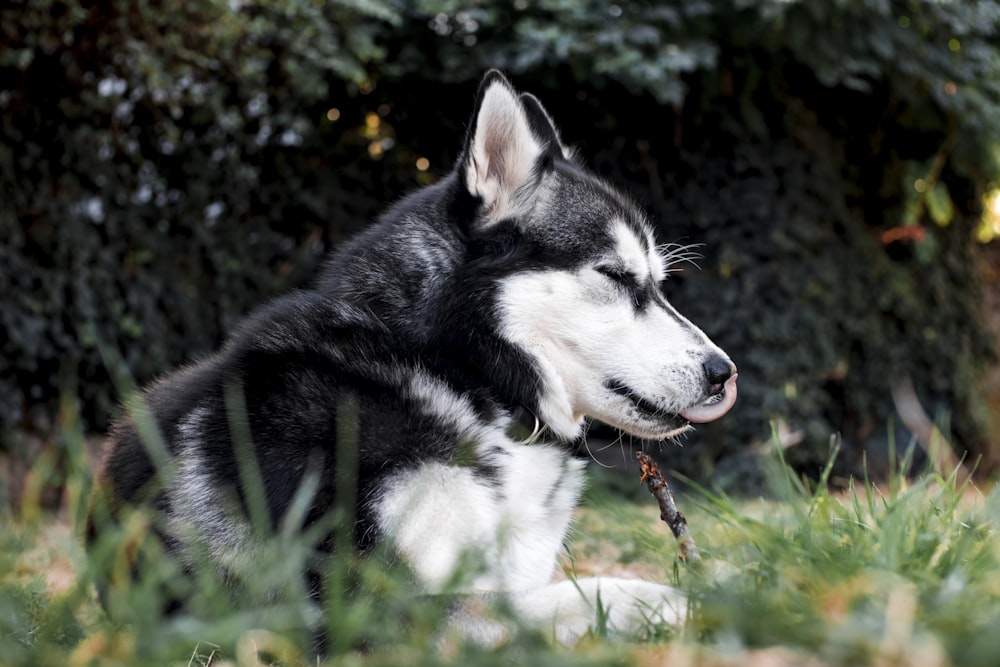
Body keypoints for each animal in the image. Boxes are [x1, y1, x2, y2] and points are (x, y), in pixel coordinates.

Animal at [92, 73, 736, 648]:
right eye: (615, 275)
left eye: (658, 283)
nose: (723, 373)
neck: (466, 378)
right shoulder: (358, 607)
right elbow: (577, 596)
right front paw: (719, 602)